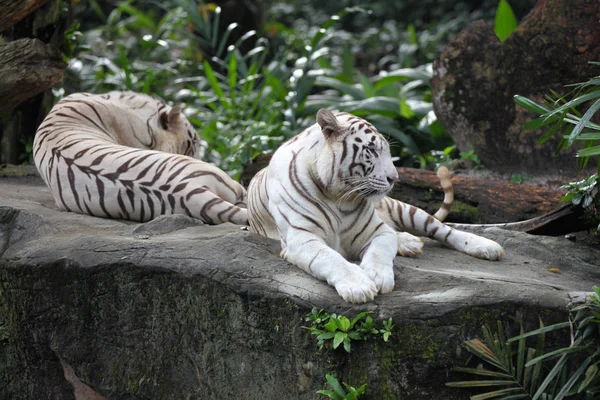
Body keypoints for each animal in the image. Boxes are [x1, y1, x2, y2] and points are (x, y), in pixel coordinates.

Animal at [246, 109, 504, 304]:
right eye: (371, 150)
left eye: (388, 152)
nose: (395, 178)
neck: (336, 197)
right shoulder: (301, 238)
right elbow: (331, 258)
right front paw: (359, 286)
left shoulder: (376, 230)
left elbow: (381, 250)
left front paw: (377, 277)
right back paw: (408, 243)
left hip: (406, 210)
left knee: (445, 230)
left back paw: (486, 246)